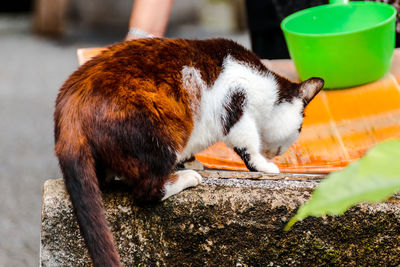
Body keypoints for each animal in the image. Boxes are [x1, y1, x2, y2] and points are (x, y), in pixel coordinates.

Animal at [54, 38, 322, 267]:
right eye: (300, 128)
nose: (279, 152)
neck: (266, 87)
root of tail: (69, 107)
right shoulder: (235, 106)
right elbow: (247, 144)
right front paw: (265, 166)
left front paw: (191, 161)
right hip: (157, 135)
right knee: (146, 191)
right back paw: (184, 179)